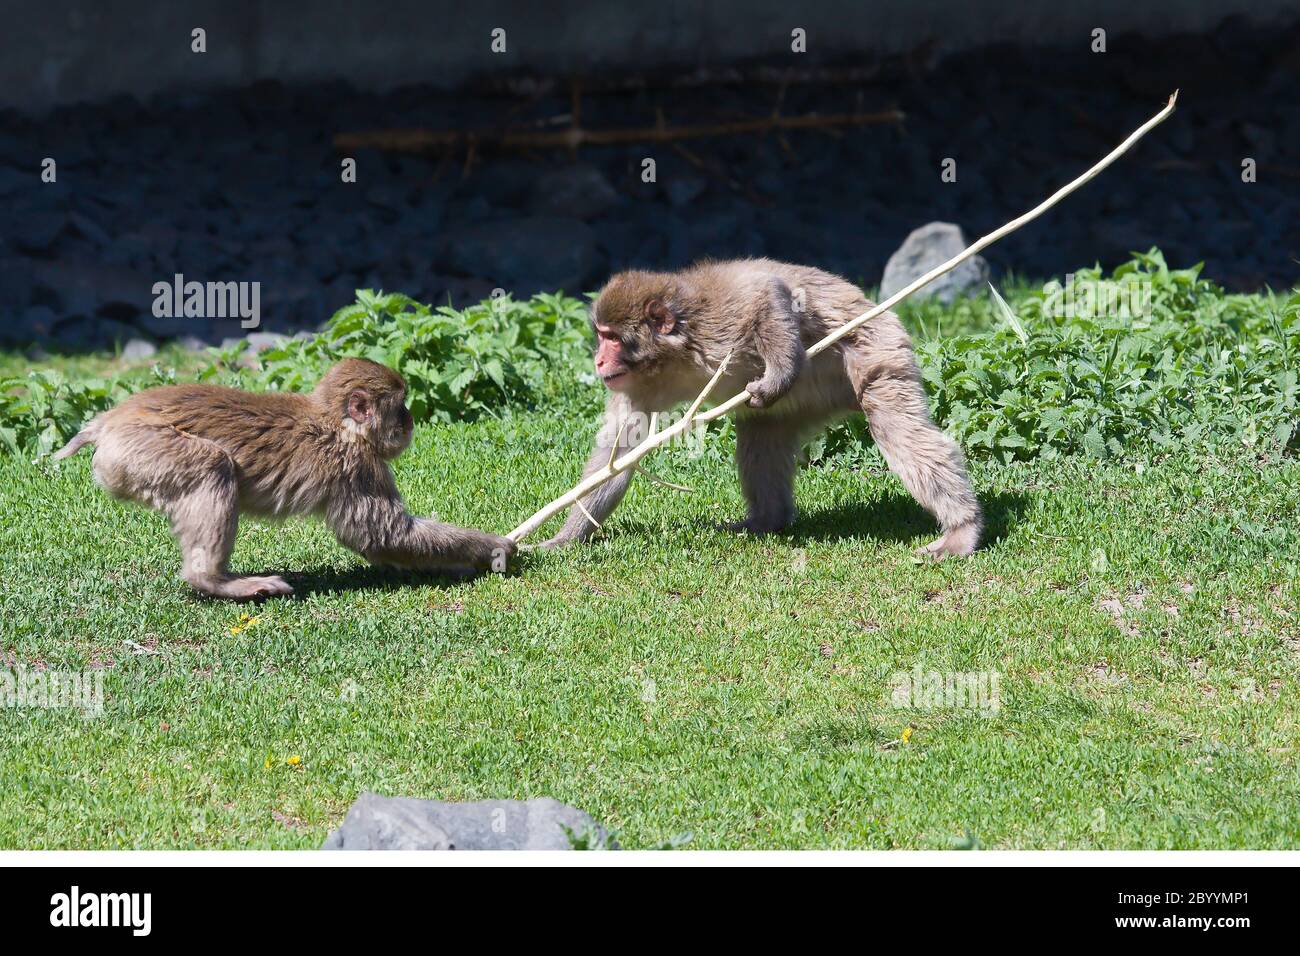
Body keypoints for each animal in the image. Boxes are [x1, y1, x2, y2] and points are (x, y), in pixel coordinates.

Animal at [55, 358, 514, 598]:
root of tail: (109, 421)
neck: (339, 423)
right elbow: (382, 535)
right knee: (213, 466)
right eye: (400, 406)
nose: (411, 420)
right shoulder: (358, 464)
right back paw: (214, 580)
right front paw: (489, 548)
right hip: (143, 449)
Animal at [543, 260, 977, 561]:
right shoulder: (632, 386)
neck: (669, 358)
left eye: (613, 339)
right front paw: (564, 538)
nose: (599, 361)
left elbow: (767, 291)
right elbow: (618, 453)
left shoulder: (716, 316)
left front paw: (780, 373)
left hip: (878, 347)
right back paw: (767, 520)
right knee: (760, 436)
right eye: (601, 336)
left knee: (896, 428)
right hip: (799, 405)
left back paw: (962, 528)